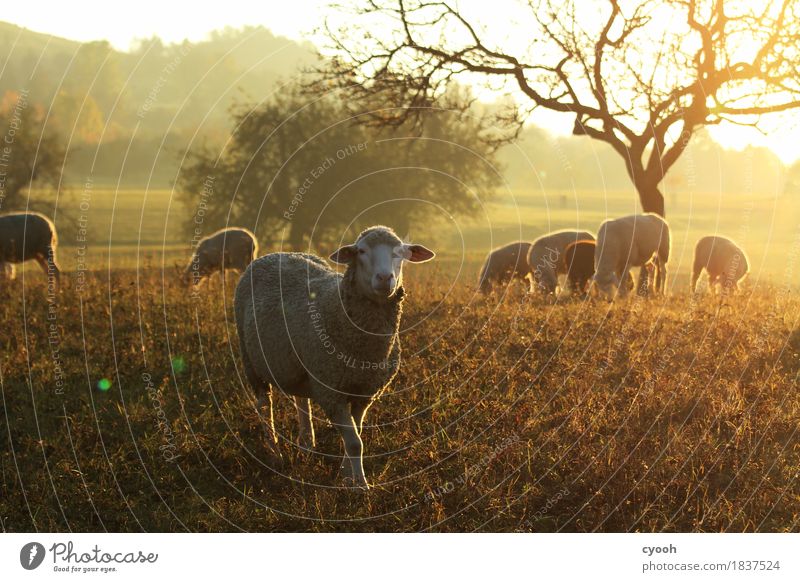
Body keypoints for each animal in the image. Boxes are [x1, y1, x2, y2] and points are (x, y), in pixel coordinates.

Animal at [234, 226, 434, 490]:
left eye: (401, 253)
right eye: (361, 251)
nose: (384, 278)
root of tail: (278, 253)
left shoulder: (364, 392)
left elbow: (356, 433)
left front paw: (346, 475)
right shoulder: (331, 393)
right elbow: (355, 443)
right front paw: (360, 486)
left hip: (303, 365)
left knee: (301, 401)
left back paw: (307, 443)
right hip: (251, 361)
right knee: (264, 406)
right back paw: (275, 453)